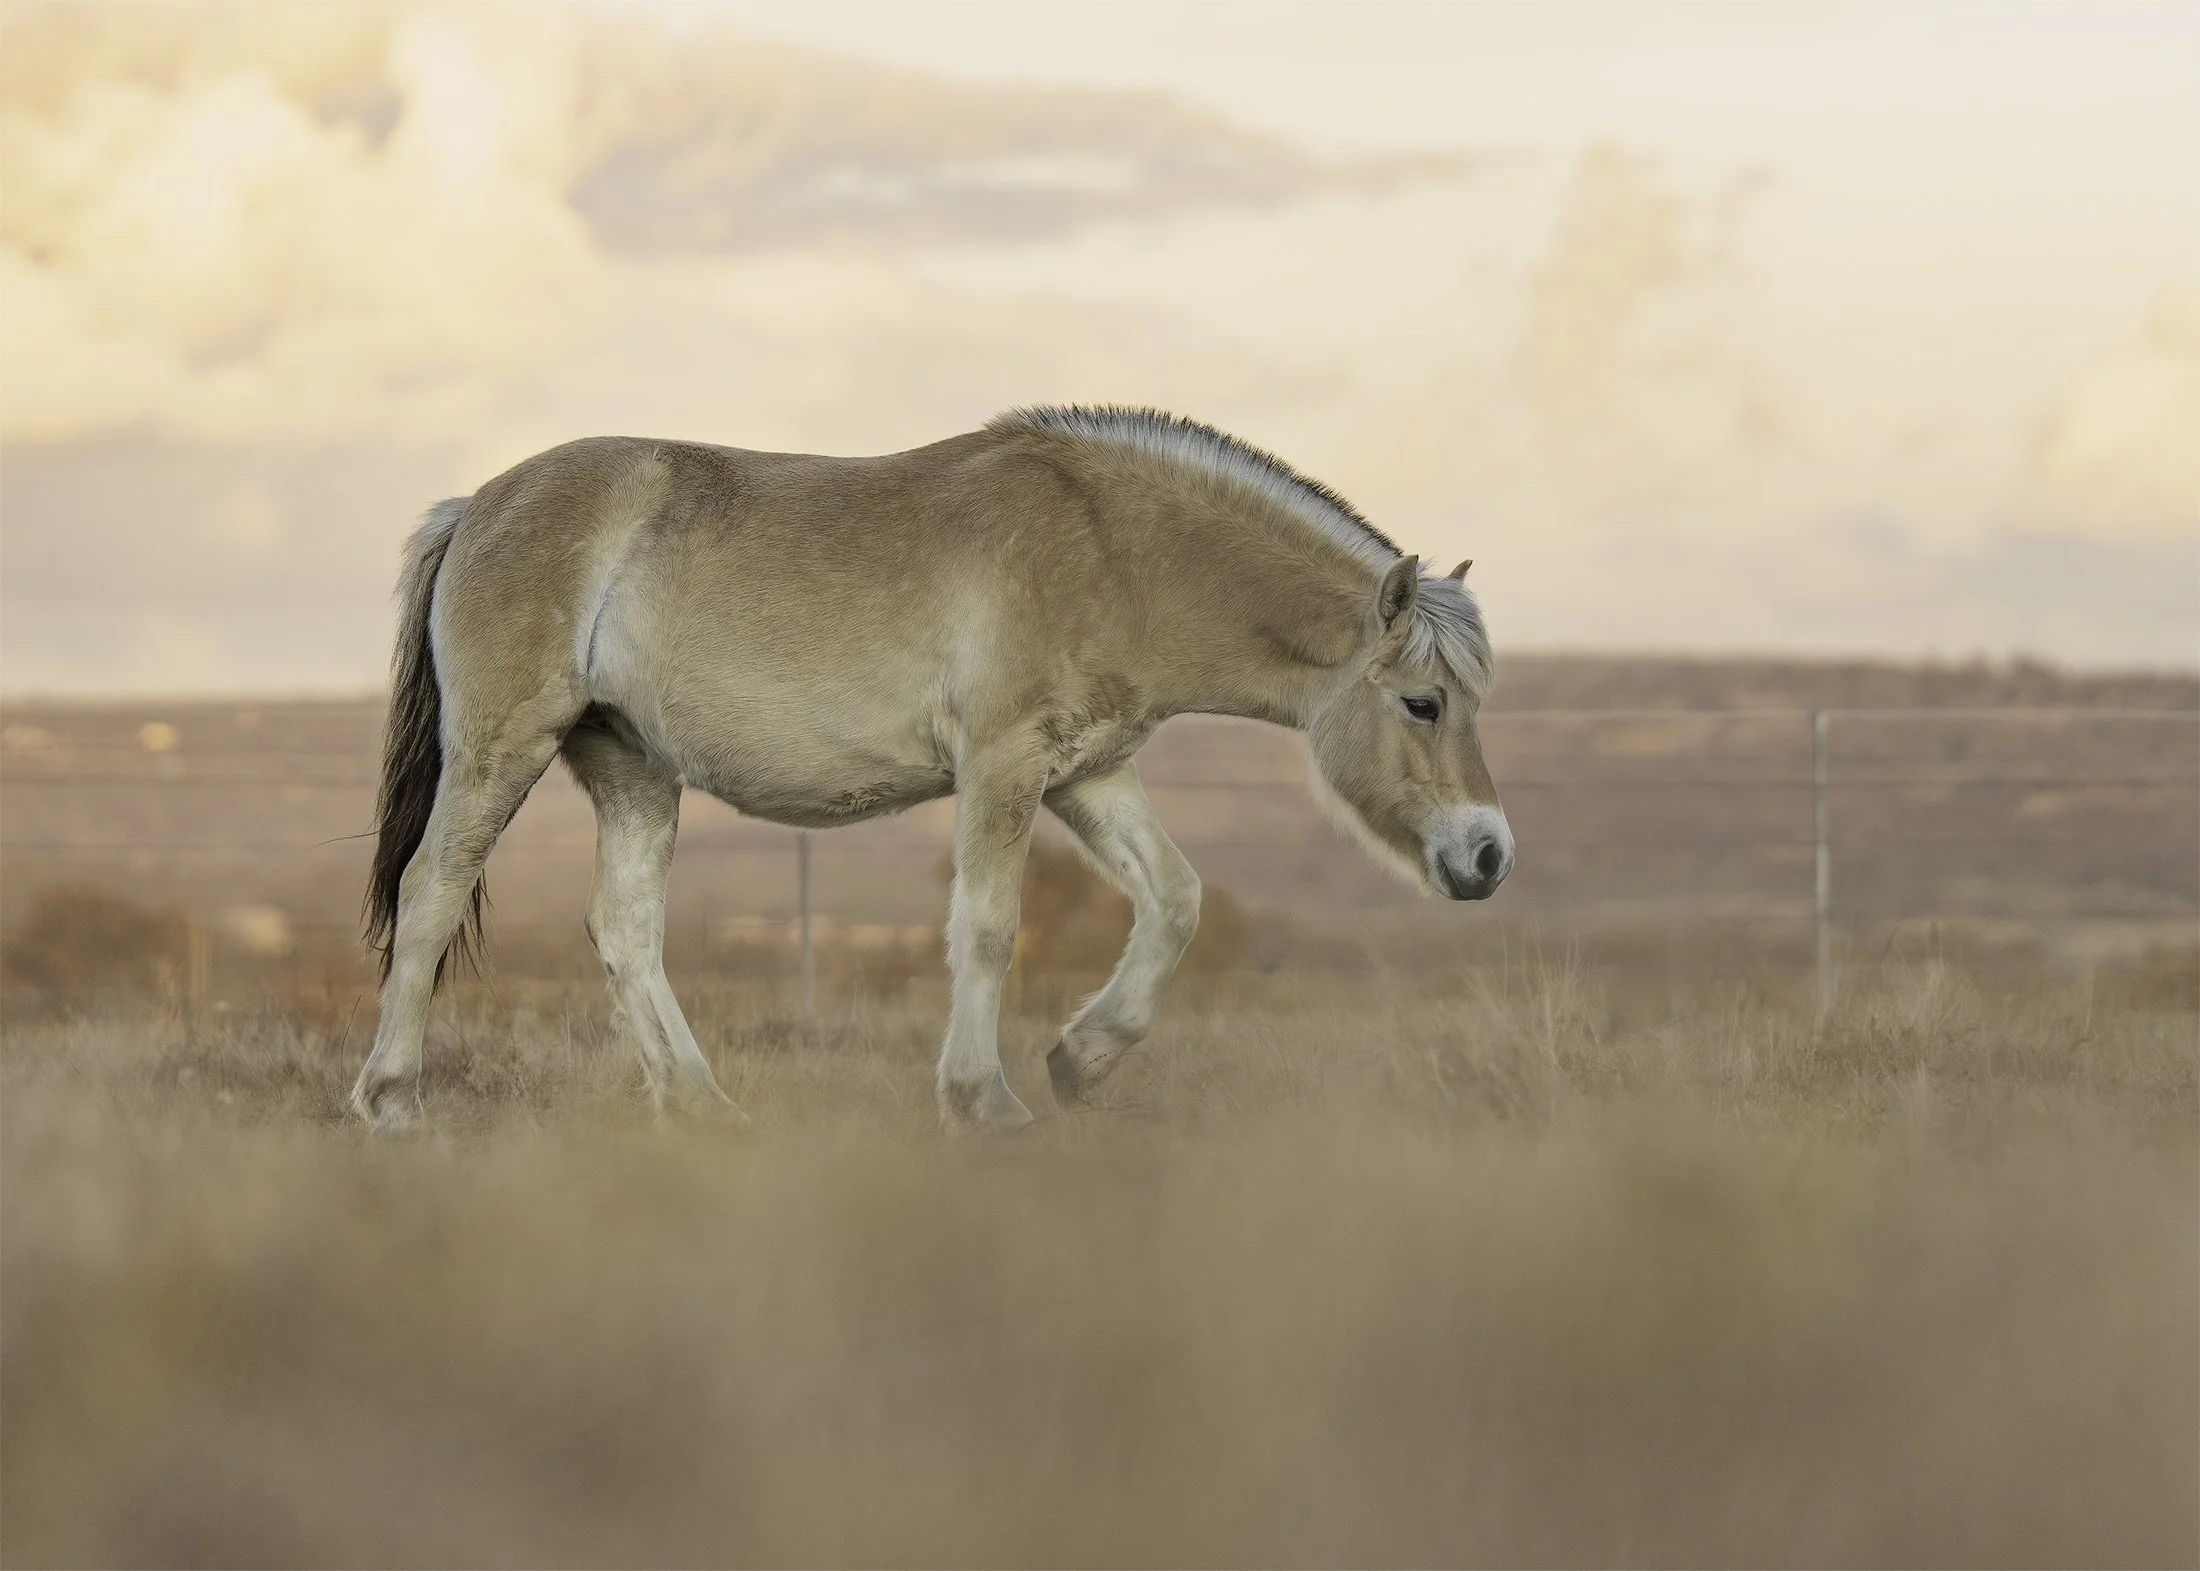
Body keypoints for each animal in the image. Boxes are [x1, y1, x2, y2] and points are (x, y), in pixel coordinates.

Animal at [350, 405, 1512, 1132]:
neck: (1111, 549)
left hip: (633, 768)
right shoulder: (1004, 766)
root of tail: (477, 505)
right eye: (1423, 701)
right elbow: (989, 928)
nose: (1489, 854)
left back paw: (700, 1104)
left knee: (626, 931)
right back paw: (390, 1099)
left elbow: (1175, 900)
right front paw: (983, 1098)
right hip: (505, 747)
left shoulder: (1088, 775)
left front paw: (1081, 1058)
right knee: (432, 890)